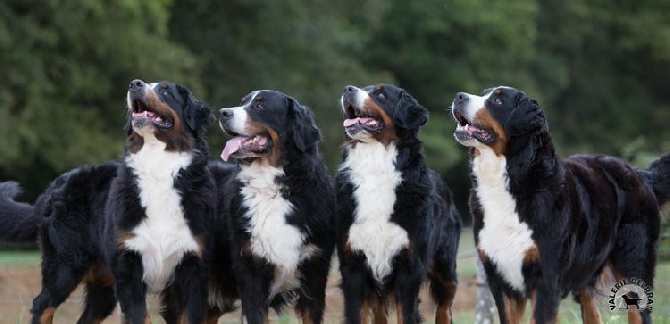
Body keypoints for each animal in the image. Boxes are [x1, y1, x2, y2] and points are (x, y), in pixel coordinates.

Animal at [0, 79, 217, 322]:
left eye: (164, 91)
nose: (135, 84)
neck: (158, 170)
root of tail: (57, 183)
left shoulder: (193, 270)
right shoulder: (129, 270)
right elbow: (140, 316)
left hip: (101, 284)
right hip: (64, 265)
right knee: (42, 305)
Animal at [207, 90, 338, 322]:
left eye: (260, 106)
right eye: (243, 102)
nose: (223, 113)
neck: (272, 188)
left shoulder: (314, 274)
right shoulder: (251, 276)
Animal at [336, 84, 462, 324]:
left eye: (380, 94)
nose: (347, 89)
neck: (375, 167)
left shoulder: (409, 269)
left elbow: (407, 314)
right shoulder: (353, 267)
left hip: (445, 269)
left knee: (444, 308)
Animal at [452, 86, 670, 324]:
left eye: (498, 101)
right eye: (484, 93)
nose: (459, 96)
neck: (510, 178)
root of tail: (639, 174)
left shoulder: (545, 278)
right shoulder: (500, 280)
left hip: (633, 265)